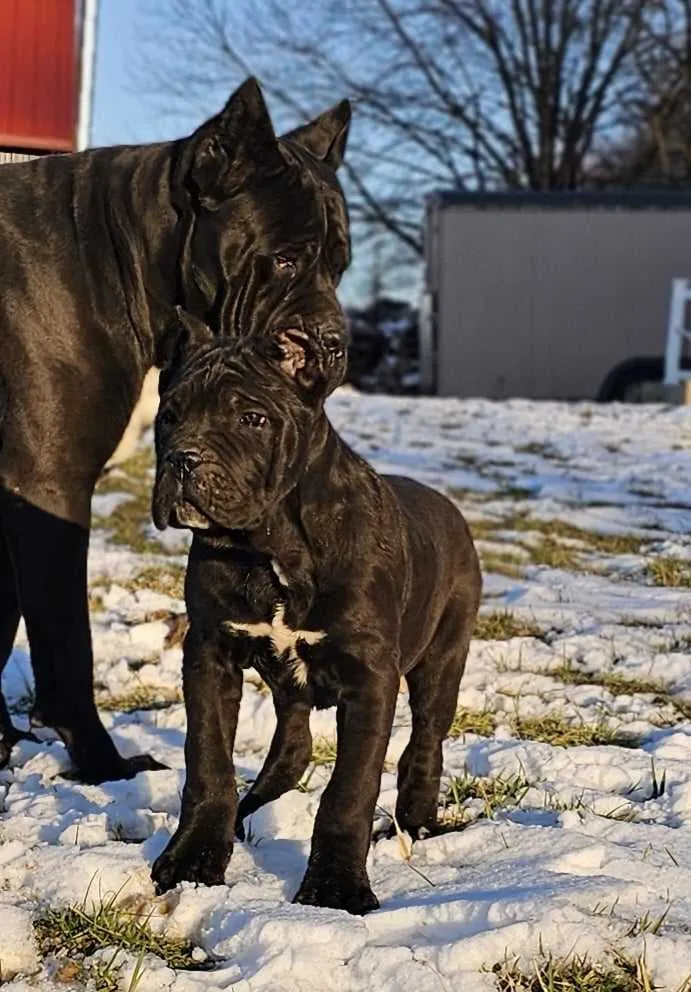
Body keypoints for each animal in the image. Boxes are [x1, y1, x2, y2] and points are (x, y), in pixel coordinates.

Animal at [150, 310, 482, 916]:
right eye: (169, 415)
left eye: (252, 418)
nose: (182, 459)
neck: (272, 546)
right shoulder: (210, 653)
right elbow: (208, 762)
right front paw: (193, 859)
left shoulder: (370, 678)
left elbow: (349, 790)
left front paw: (334, 888)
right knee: (294, 742)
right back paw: (252, 809)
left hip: (443, 658)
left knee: (426, 740)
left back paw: (418, 821)